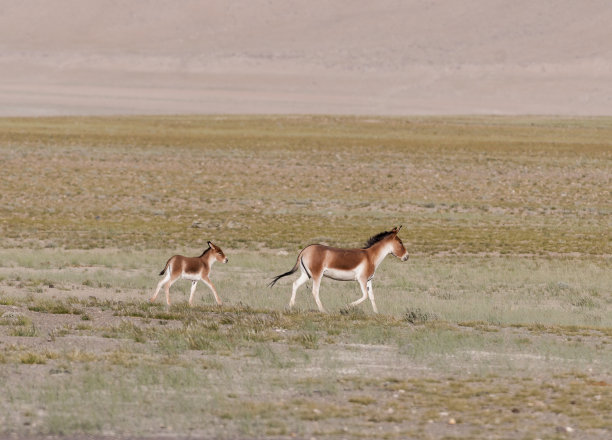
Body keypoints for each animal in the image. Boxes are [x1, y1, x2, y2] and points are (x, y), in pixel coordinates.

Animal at [270, 227, 408, 312]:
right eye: (400, 242)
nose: (407, 257)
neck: (370, 256)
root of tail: (305, 249)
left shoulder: (369, 280)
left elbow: (372, 297)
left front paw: (376, 313)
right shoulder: (361, 280)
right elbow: (365, 296)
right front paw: (347, 306)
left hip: (306, 274)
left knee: (295, 284)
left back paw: (290, 306)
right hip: (317, 275)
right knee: (315, 291)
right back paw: (323, 310)